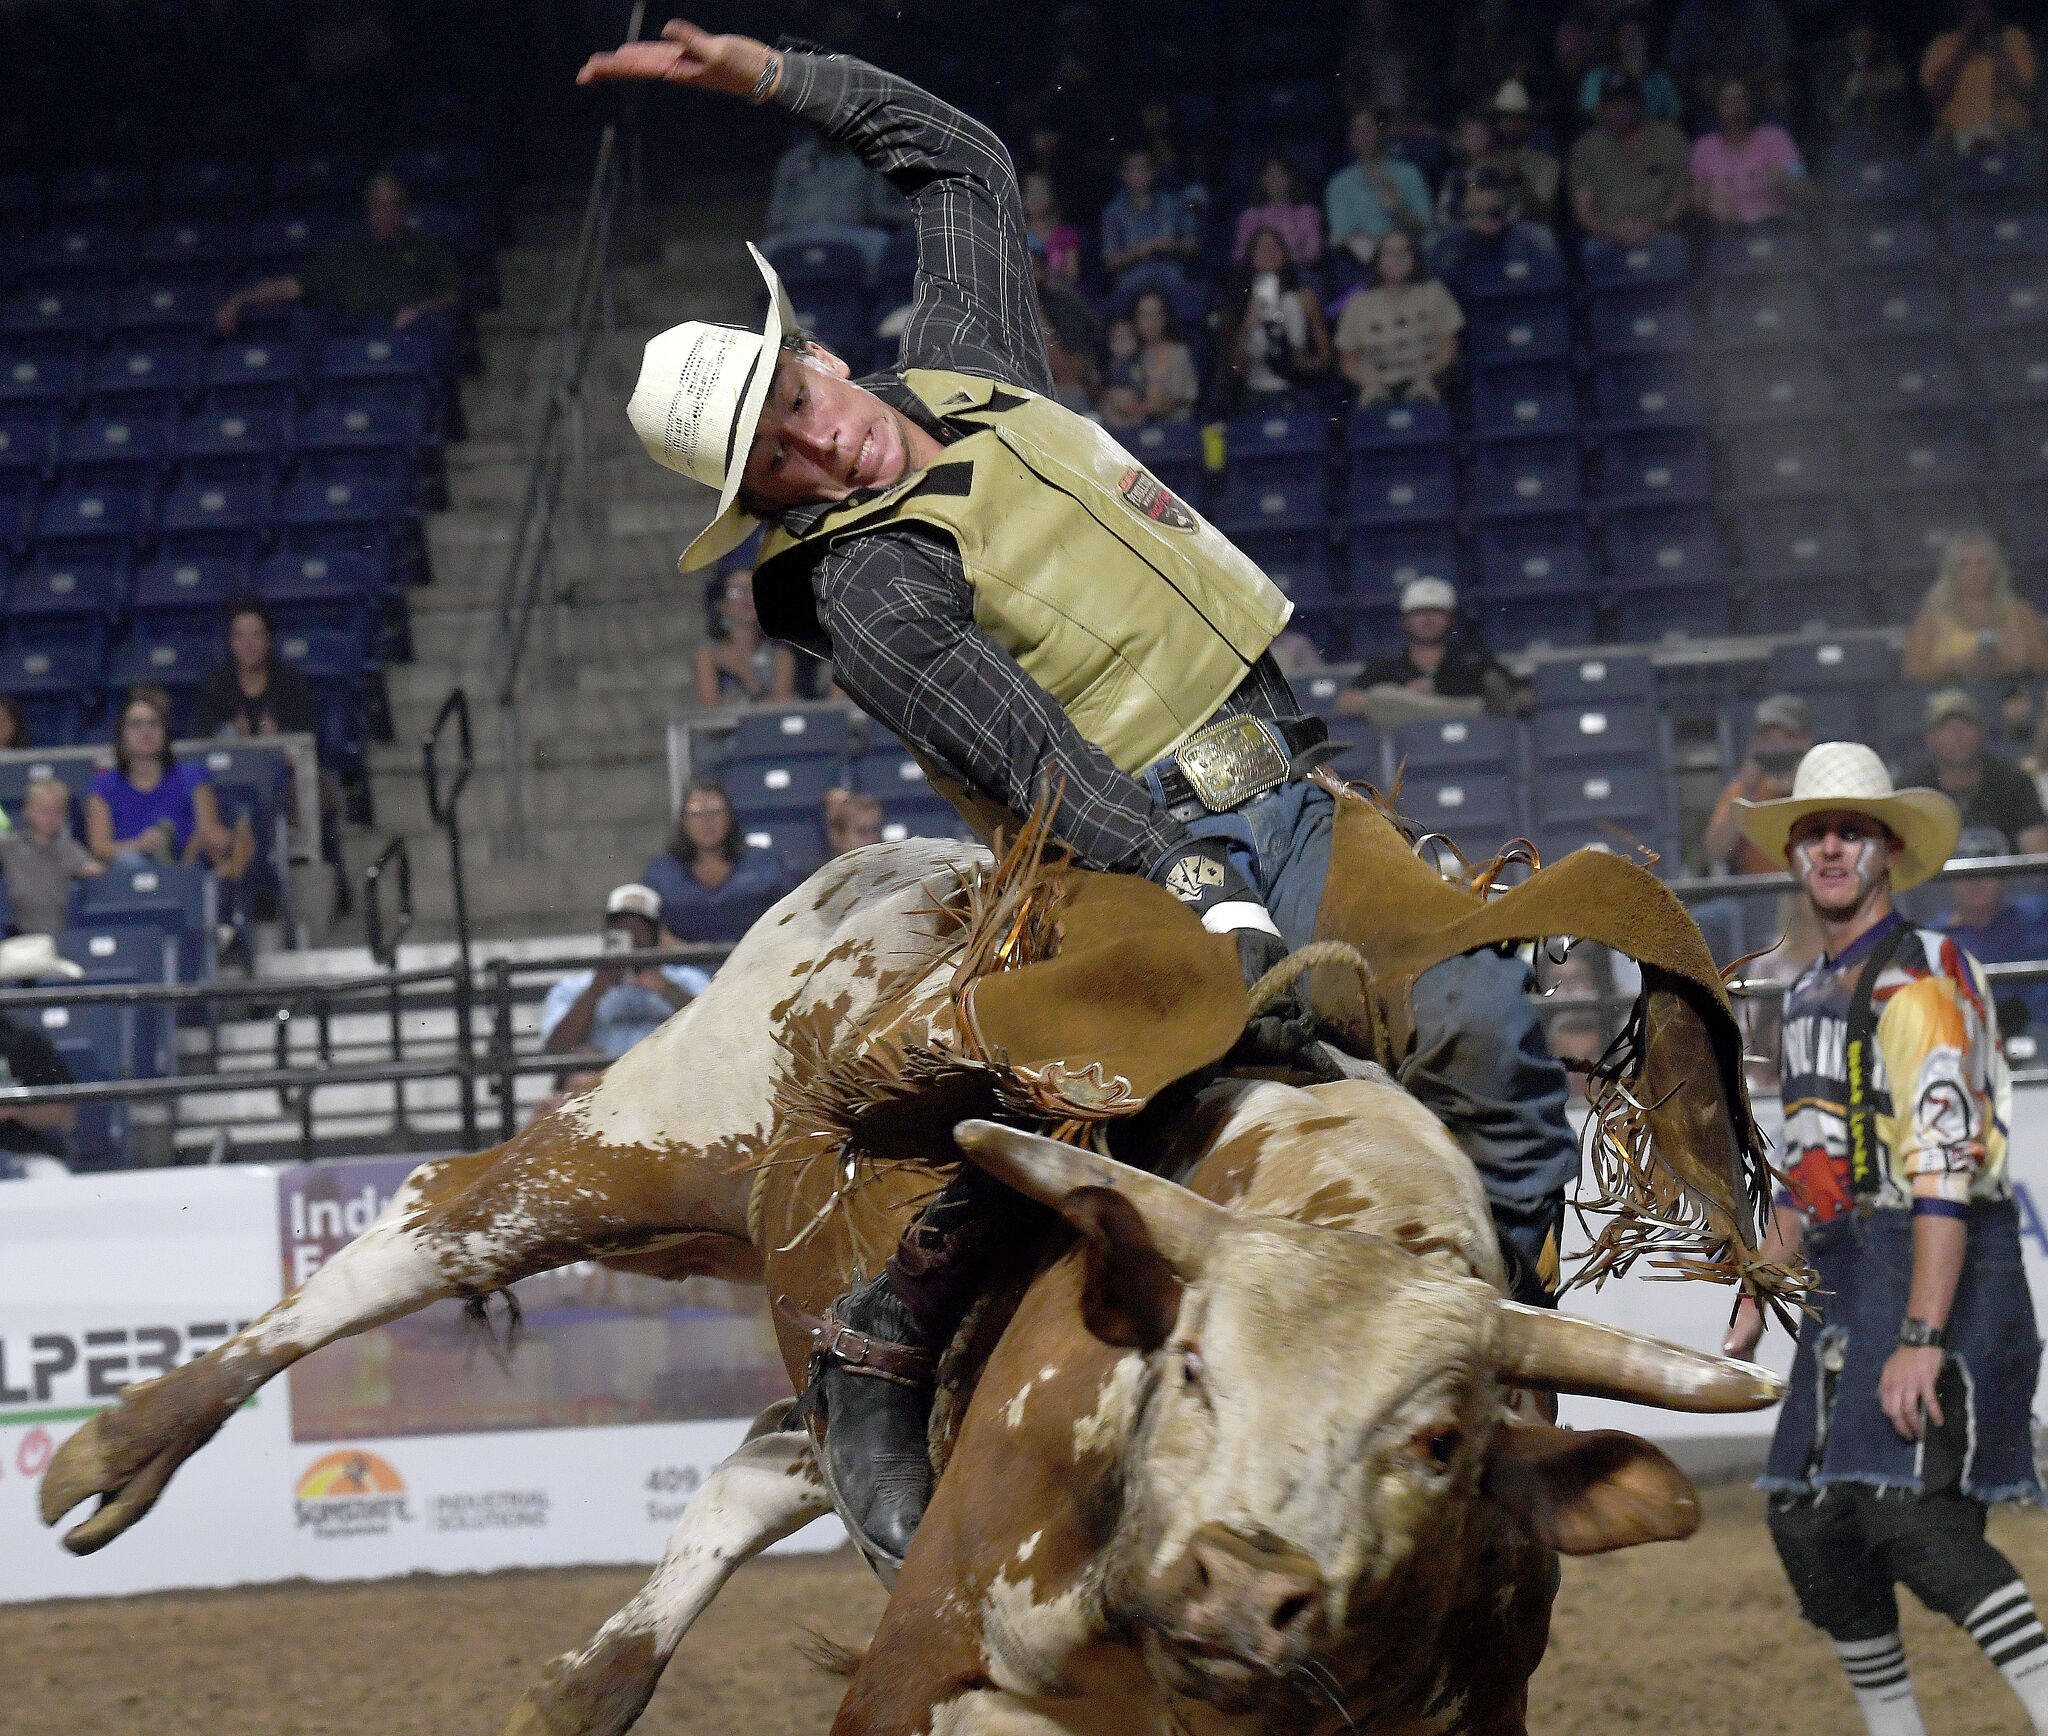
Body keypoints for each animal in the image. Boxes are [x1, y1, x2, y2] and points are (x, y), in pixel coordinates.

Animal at [39, 818, 1785, 1727]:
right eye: (1190, 1368)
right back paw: (111, 1455)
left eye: (1438, 1438)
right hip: (658, 1129)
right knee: (429, 1222)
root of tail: (915, 863)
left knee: (771, 1448)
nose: (1239, 1585)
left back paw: (586, 1690)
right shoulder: (921, 1663)